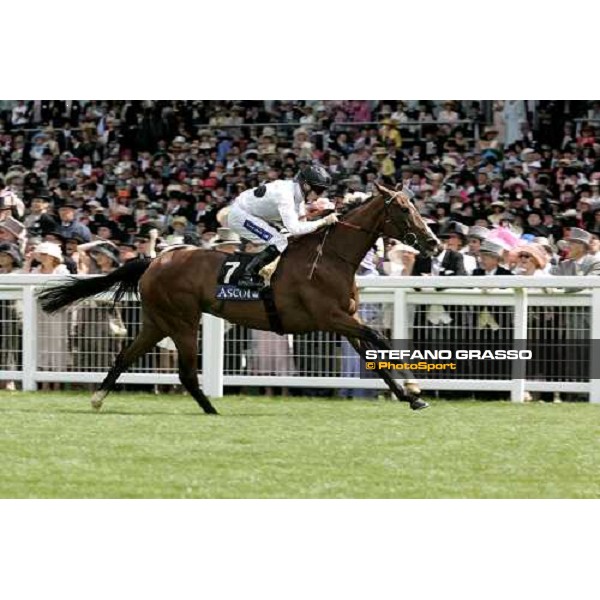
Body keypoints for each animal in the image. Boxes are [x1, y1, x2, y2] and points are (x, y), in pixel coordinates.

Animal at [37, 183, 440, 414]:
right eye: (404, 209)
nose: (434, 243)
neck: (328, 257)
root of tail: (156, 260)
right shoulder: (330, 317)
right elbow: (381, 339)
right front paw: (415, 387)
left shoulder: (345, 320)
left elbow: (374, 356)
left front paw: (411, 396)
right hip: (183, 320)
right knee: (185, 371)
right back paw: (212, 411)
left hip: (156, 322)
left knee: (125, 355)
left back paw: (98, 398)